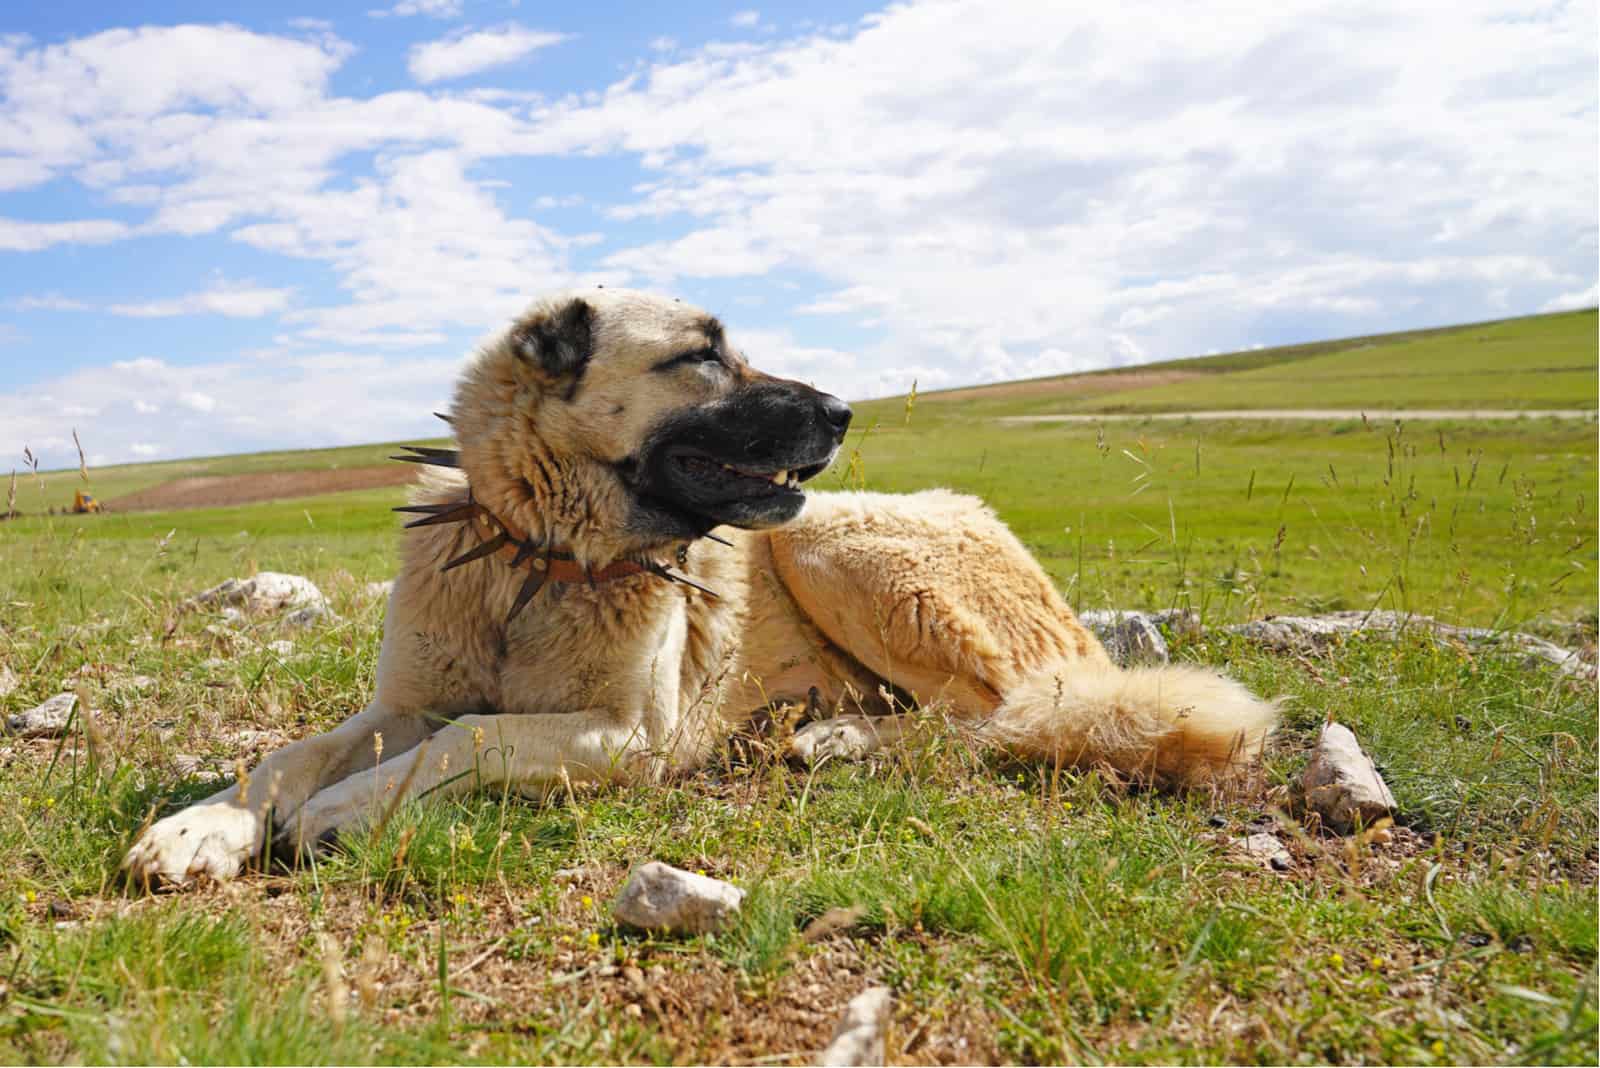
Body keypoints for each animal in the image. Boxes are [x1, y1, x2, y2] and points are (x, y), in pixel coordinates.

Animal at [121, 287, 1273, 888]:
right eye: (702, 357)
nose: (845, 410)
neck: (541, 560)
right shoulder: (402, 705)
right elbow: (289, 754)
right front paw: (202, 826)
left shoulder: (630, 737)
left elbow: (469, 738)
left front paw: (343, 811)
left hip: (840, 544)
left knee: (992, 717)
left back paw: (834, 738)